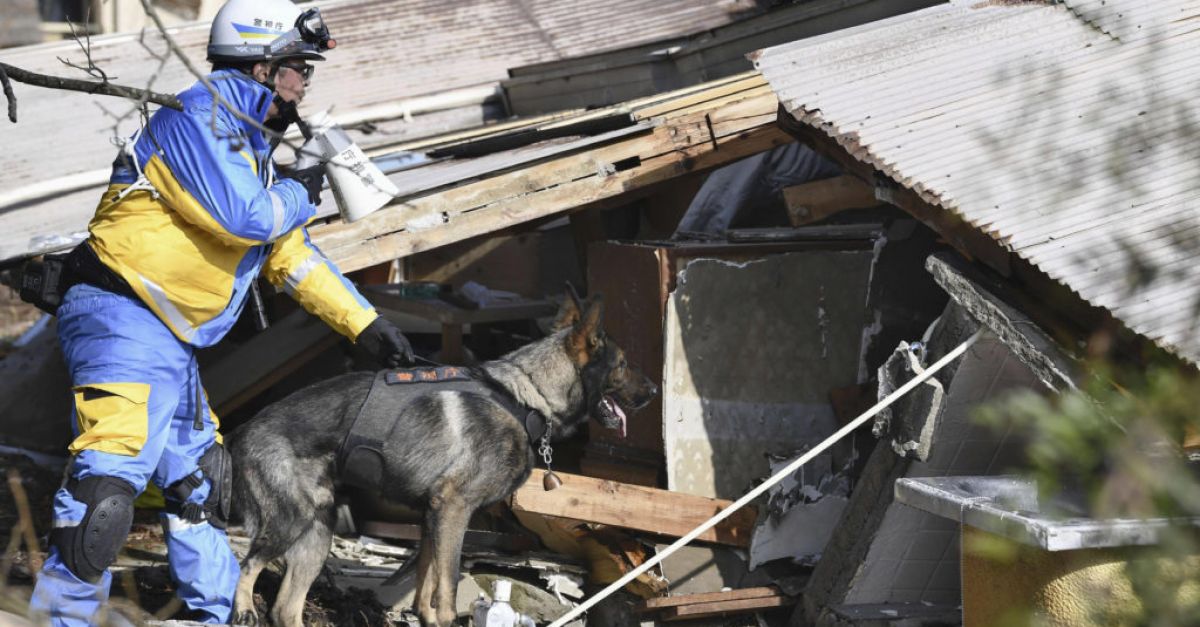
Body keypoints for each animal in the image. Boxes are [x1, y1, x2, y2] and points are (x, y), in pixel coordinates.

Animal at [225, 293, 657, 624]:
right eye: (622, 364)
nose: (654, 390)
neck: (525, 396)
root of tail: (242, 430)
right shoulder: (453, 509)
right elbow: (446, 584)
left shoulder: (432, 516)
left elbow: (425, 583)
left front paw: (426, 616)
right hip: (291, 521)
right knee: (246, 566)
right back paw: (243, 608)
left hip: (316, 535)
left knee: (285, 608)